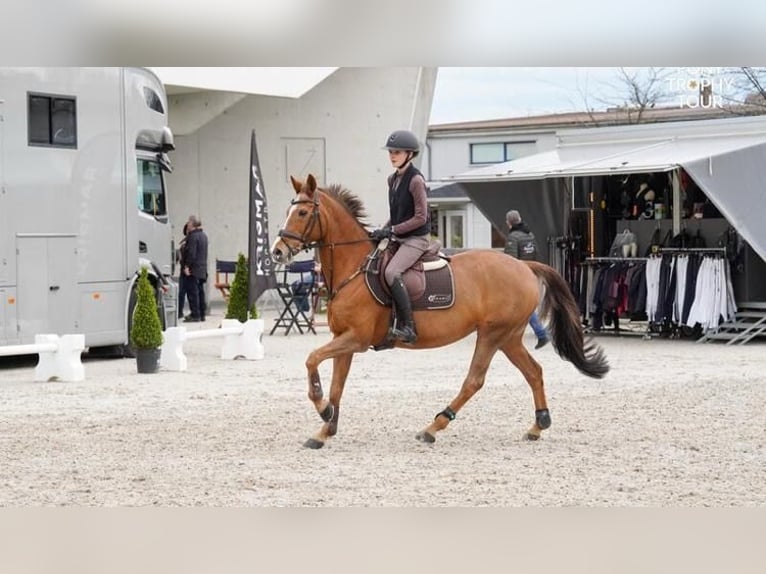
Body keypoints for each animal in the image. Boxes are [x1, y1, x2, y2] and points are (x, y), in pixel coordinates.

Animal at [272, 174, 608, 450]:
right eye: (289, 210)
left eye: (302, 212)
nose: (277, 251)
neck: (353, 268)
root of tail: (524, 265)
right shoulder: (345, 340)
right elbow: (337, 385)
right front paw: (325, 429)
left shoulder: (357, 339)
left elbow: (312, 359)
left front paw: (322, 408)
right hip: (509, 337)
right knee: (534, 372)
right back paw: (538, 425)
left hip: (492, 334)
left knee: (475, 380)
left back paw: (433, 427)